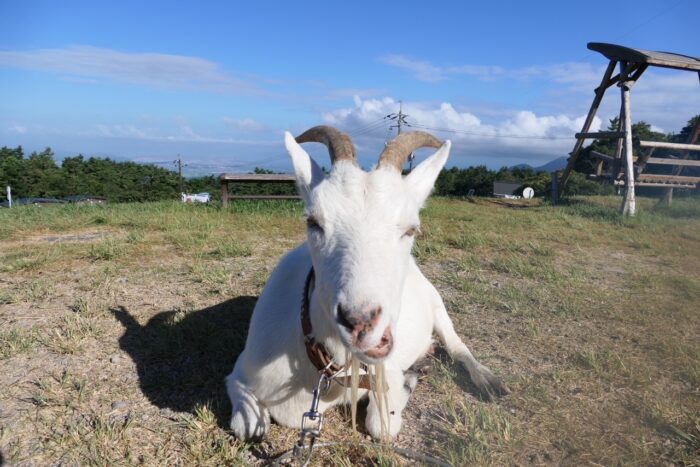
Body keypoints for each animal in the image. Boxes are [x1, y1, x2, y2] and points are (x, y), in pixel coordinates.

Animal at [227, 126, 506, 440]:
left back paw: (486, 379)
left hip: (437, 305)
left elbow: (381, 426)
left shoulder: (386, 371)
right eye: (313, 222)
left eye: (411, 229)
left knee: (456, 345)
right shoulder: (243, 369)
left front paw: (409, 382)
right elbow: (249, 426)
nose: (361, 323)